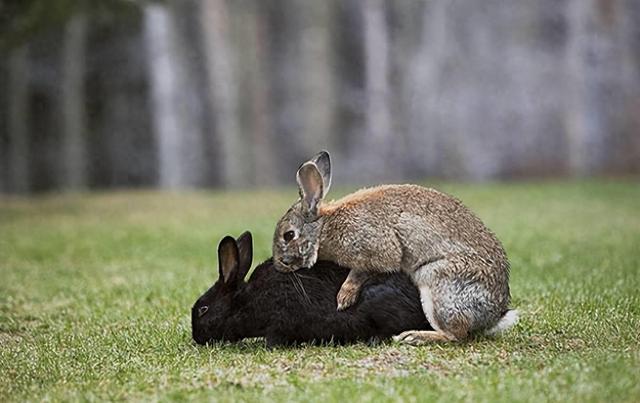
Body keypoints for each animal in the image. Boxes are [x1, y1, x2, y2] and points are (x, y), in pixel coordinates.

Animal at [272, 150, 516, 346]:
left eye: (288, 235)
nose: (278, 264)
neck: (324, 227)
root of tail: (495, 315)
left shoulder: (376, 248)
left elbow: (362, 270)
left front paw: (344, 297)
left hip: (438, 283)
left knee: (456, 335)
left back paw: (414, 337)